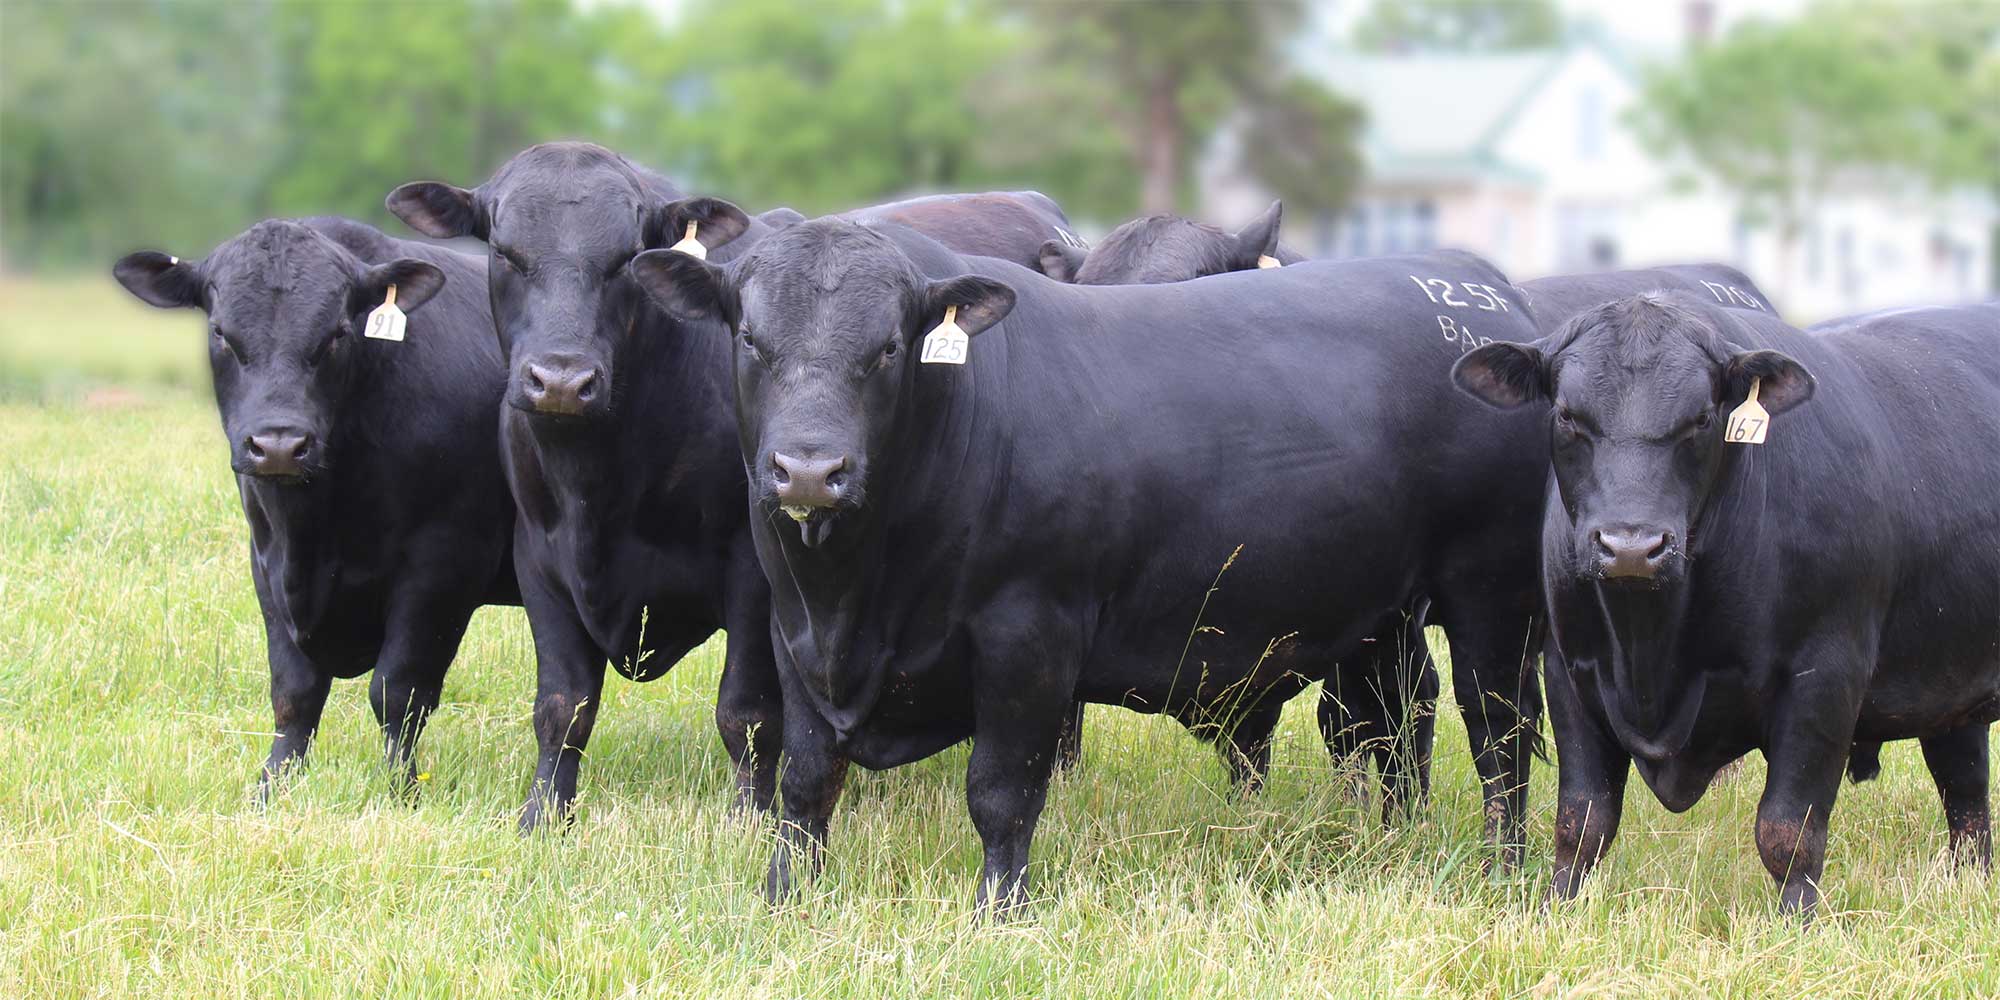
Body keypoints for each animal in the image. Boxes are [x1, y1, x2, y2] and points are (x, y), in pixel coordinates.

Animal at [110, 221, 520, 796]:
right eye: (221, 332)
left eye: (337, 334)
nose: (279, 445)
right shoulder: (266, 559)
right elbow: (294, 691)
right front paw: (272, 787)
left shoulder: (445, 563)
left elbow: (398, 691)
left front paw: (404, 793)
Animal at [382, 141, 1088, 828]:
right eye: (504, 251)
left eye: (626, 258)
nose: (560, 379)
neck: (598, 479)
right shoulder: (540, 558)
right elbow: (562, 705)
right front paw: (544, 816)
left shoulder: (752, 569)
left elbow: (745, 712)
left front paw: (749, 817)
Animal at [624, 221, 1544, 916]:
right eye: (749, 338)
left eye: (889, 348)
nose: (810, 471)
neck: (858, 593)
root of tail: (1472, 283)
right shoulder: (793, 628)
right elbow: (804, 780)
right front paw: (787, 897)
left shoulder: (1029, 635)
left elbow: (1001, 792)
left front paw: (1000, 911)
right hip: (1383, 615)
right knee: (1393, 719)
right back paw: (1395, 836)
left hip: (1490, 590)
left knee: (1498, 733)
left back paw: (1504, 870)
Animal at [1456, 294, 2000, 916]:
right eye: (1568, 415)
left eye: (1701, 418)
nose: (1630, 546)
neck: (1651, 649)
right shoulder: (1569, 670)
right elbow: (1582, 820)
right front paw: (1557, 909)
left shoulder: (1825, 676)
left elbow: (1787, 829)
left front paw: (1798, 923)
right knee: (1965, 787)